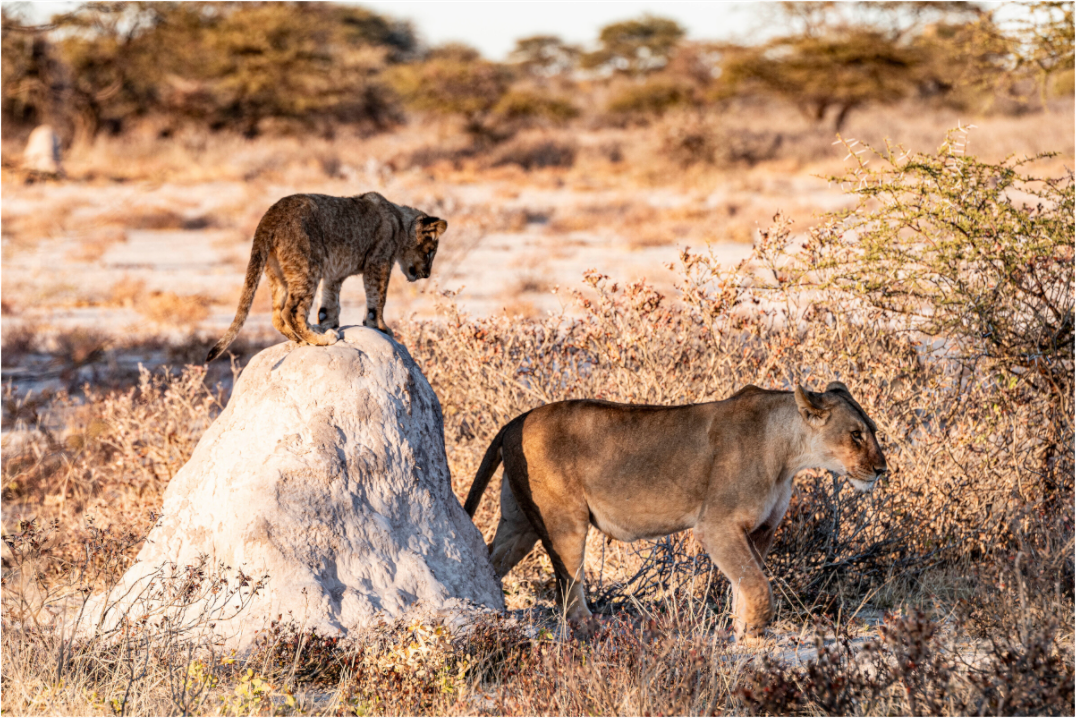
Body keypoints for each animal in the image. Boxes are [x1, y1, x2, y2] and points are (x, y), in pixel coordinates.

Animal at [206, 192, 447, 363]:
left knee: (277, 315)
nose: (427, 274)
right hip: (308, 266)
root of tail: (269, 216)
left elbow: (329, 305)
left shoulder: (334, 275)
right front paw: (380, 327)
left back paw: (304, 339)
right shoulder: (379, 262)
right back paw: (321, 339)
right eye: (430, 252)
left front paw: (329, 323)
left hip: (277, 273)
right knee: (291, 311)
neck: (400, 221)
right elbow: (377, 299)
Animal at [464, 382, 888, 639]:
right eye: (855, 434)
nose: (882, 469)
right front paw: (753, 637)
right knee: (569, 591)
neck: (789, 454)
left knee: (487, 560)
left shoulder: (759, 531)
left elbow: (745, 583)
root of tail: (516, 420)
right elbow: (757, 584)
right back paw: (595, 631)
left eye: (874, 431)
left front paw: (742, 634)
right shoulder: (716, 525)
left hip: (518, 524)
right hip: (565, 522)